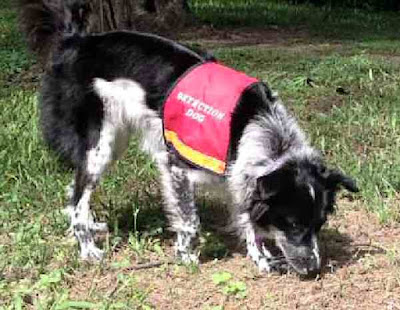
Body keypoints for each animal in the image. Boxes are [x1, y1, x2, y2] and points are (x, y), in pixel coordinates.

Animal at [19, 0, 360, 274]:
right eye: (293, 224)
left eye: (319, 224)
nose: (314, 269)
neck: (253, 125)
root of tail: (76, 41)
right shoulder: (177, 166)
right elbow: (190, 220)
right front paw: (187, 256)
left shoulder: (239, 174)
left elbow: (246, 216)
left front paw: (260, 258)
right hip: (99, 144)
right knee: (78, 196)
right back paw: (88, 249)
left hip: (114, 141)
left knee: (75, 191)